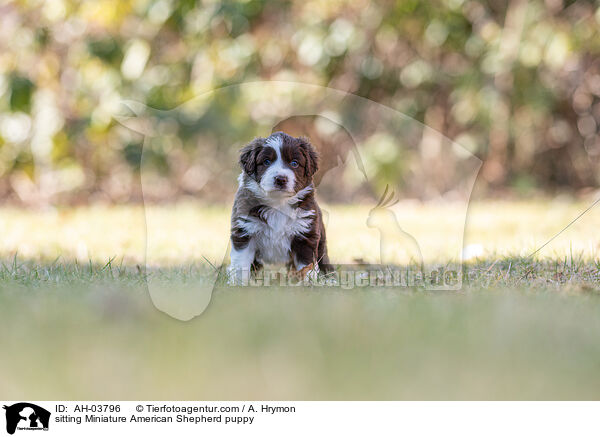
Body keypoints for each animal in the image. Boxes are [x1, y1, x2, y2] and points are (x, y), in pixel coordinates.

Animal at [229, 131, 332, 284]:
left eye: (294, 163)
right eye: (266, 162)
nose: (281, 179)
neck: (278, 203)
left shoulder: (305, 236)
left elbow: (307, 267)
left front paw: (309, 284)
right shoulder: (244, 231)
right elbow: (240, 264)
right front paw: (238, 284)